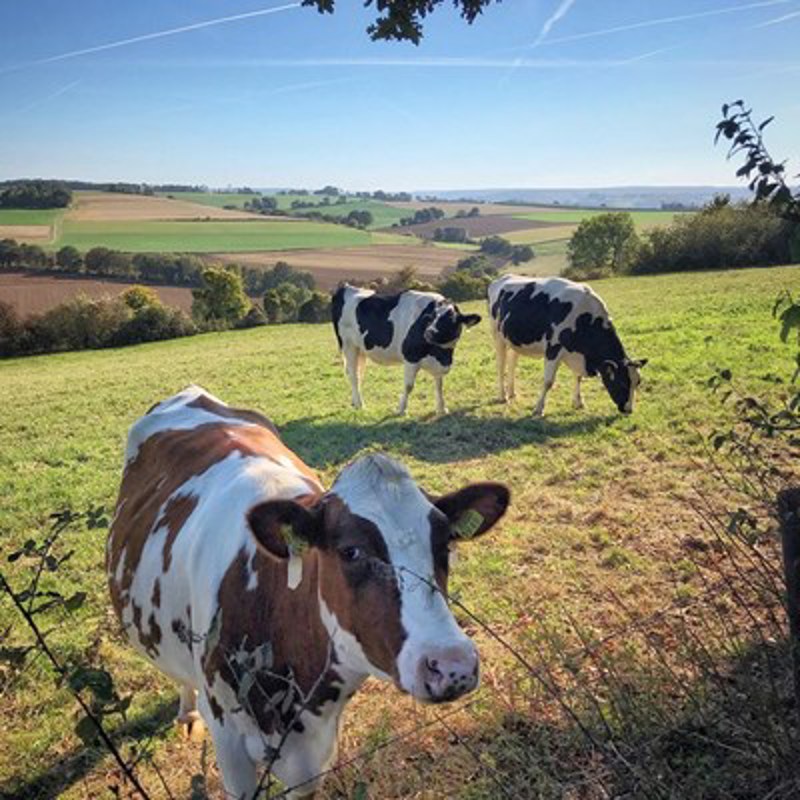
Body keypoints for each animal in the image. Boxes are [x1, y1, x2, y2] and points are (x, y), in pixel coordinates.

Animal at [106, 386, 510, 792]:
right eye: (350, 551)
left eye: (444, 544)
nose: (453, 666)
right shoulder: (231, 747)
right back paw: (188, 712)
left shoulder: (311, 761)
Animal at [332, 284, 482, 416]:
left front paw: (441, 408)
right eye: (432, 318)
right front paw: (401, 409)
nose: (429, 333)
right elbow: (409, 386)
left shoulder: (438, 363)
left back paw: (354, 401)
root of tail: (346, 287)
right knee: (353, 375)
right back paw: (360, 404)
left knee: (358, 373)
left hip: (361, 349)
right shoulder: (411, 357)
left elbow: (439, 385)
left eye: (451, 319)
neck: (442, 354)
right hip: (348, 345)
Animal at [484, 276, 648, 416]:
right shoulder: (553, 348)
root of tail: (500, 279)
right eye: (622, 383)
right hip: (497, 336)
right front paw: (538, 409)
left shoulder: (577, 354)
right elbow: (548, 381)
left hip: (514, 340)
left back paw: (512, 392)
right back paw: (503, 396)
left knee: (512, 363)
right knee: (501, 366)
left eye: (638, 382)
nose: (628, 410)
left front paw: (578, 402)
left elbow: (578, 377)